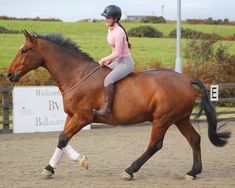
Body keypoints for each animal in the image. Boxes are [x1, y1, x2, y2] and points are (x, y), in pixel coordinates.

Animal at [6, 30, 230, 180]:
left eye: (25, 50)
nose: (8, 74)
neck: (77, 75)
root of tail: (185, 79)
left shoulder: (82, 117)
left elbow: (63, 138)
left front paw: (63, 165)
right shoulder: (72, 116)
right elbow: (63, 139)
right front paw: (60, 165)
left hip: (163, 119)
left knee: (155, 145)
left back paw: (130, 170)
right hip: (180, 118)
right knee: (194, 139)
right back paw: (193, 172)